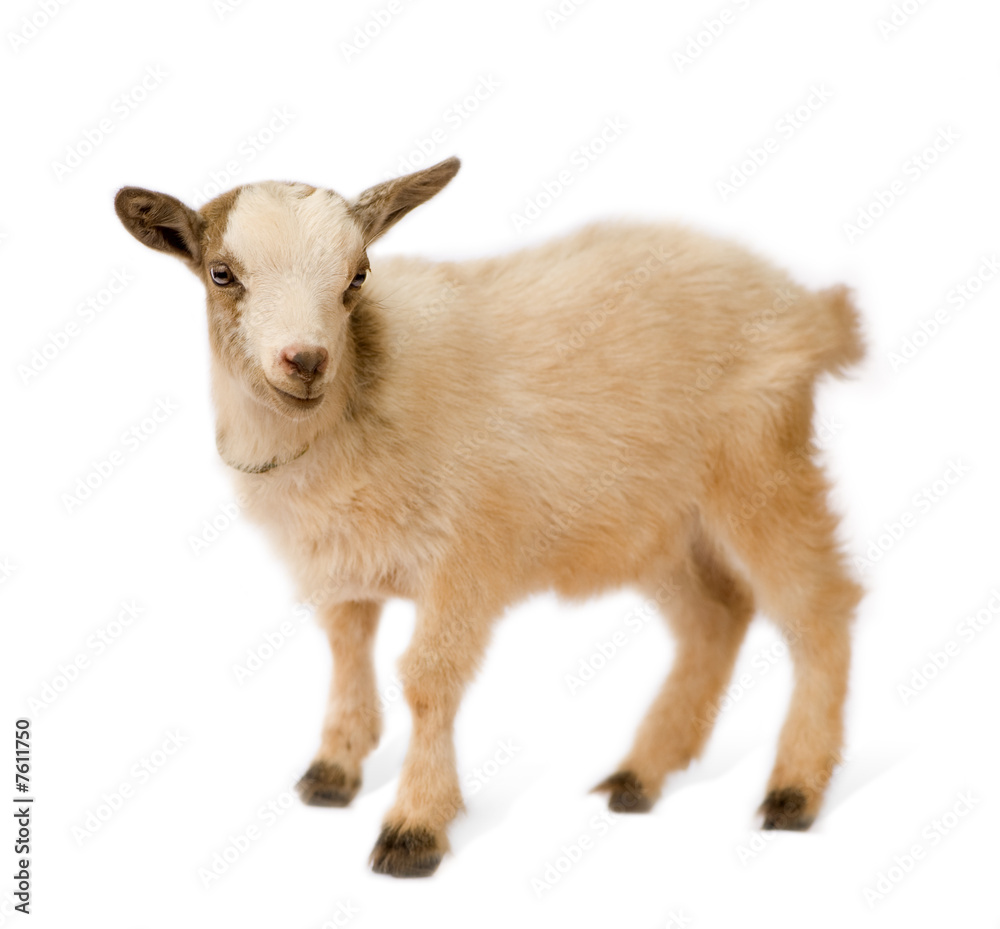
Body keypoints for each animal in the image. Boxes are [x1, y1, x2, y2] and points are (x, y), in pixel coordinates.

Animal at [114, 156, 864, 877]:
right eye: (222, 273)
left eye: (358, 274)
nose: (305, 361)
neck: (361, 397)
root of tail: (808, 310)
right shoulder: (337, 561)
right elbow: (345, 648)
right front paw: (333, 770)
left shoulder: (464, 558)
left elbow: (426, 678)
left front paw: (414, 828)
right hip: (656, 525)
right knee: (716, 615)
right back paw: (641, 774)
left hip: (760, 469)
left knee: (817, 607)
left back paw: (795, 790)